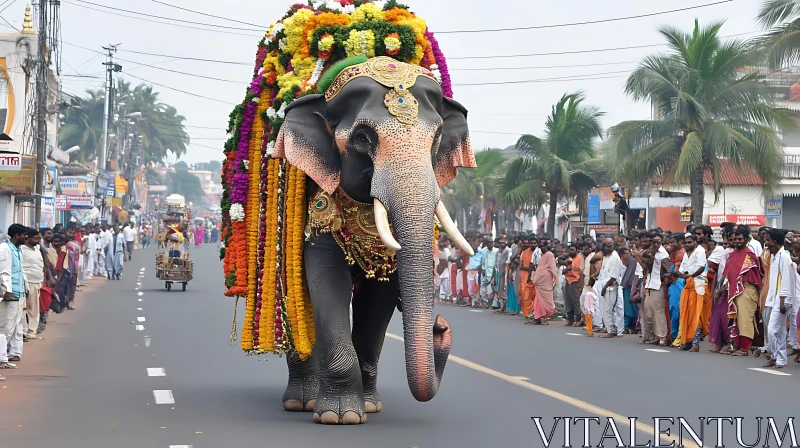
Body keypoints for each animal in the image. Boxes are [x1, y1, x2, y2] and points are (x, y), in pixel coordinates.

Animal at [276, 56, 476, 424]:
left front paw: (367, 406)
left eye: (437, 137)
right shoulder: (316, 203)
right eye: (362, 137)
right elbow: (326, 281)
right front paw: (339, 416)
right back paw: (301, 402)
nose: (440, 326)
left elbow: (380, 296)